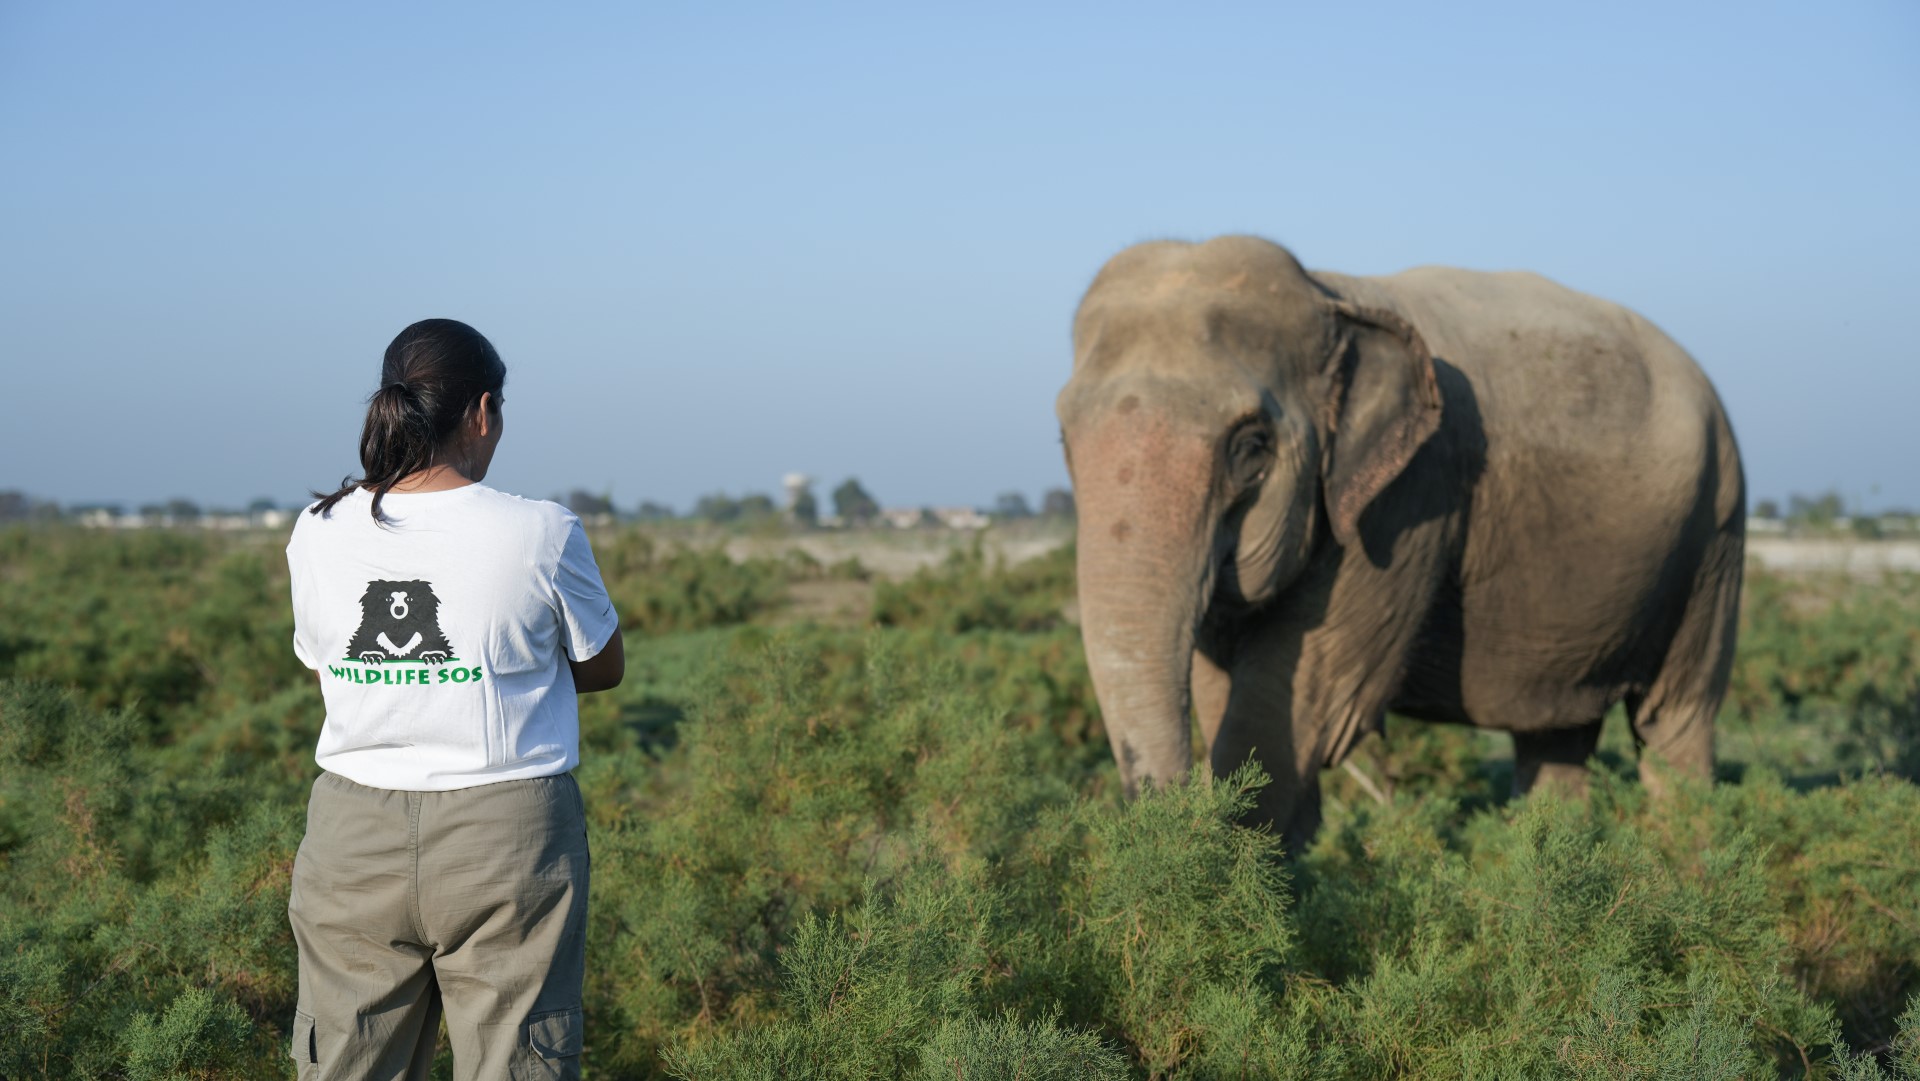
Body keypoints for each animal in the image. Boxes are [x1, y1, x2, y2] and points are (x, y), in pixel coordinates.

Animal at [1059, 237, 1751, 856]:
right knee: (1554, 736)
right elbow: (1219, 693)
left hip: (1715, 533)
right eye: (1064, 437)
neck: (1329, 293)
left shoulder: (1409, 500)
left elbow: (1297, 703)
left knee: (1675, 725)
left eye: (1250, 446)